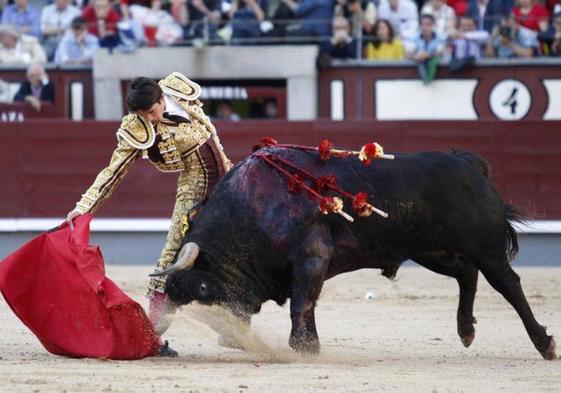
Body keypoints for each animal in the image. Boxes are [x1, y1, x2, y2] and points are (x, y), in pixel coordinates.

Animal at [154, 147, 556, 358]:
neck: (251, 206)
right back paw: (465, 331)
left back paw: (544, 343)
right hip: (430, 250)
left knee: (508, 284)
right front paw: (310, 345)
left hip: (485, 247)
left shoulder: (312, 258)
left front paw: (304, 347)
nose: (230, 336)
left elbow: (302, 303)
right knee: (466, 274)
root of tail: (469, 164)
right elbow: (308, 304)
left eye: (202, 289)